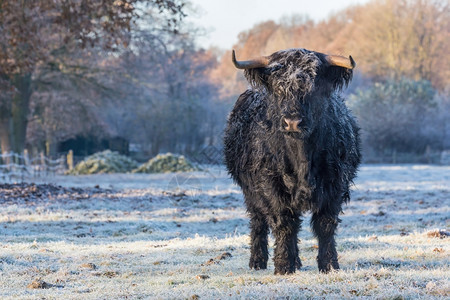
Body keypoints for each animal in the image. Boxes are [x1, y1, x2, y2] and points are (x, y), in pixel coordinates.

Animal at [225, 48, 362, 274]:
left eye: (314, 88)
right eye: (278, 89)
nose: (293, 122)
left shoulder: (336, 184)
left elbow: (325, 224)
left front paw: (329, 264)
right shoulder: (270, 185)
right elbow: (284, 223)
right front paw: (283, 266)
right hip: (250, 192)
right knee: (259, 221)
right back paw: (257, 261)